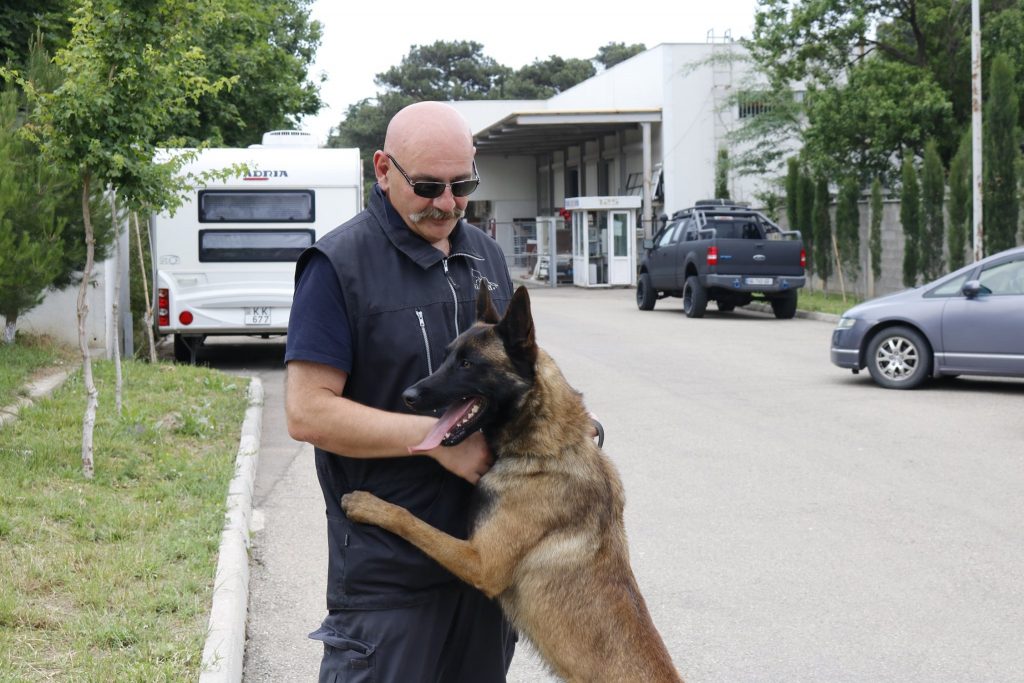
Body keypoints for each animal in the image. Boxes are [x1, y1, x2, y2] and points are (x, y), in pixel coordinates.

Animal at [339, 282, 684, 683]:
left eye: (468, 364)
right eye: (447, 357)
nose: (408, 396)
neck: (546, 450)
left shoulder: (480, 562)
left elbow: (410, 520)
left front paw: (367, 505)